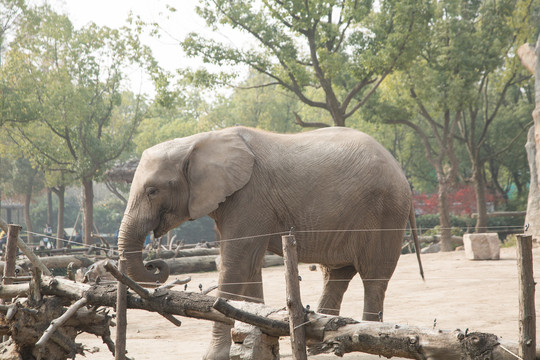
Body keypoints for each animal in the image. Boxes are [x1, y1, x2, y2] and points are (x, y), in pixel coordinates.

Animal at [117, 125, 422, 358]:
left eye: (153, 191)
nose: (154, 264)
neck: (199, 139)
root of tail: (402, 174)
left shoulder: (250, 197)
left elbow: (235, 263)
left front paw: (216, 355)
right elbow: (250, 264)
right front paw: (253, 338)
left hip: (384, 214)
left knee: (373, 277)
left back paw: (369, 340)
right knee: (336, 274)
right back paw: (321, 344)